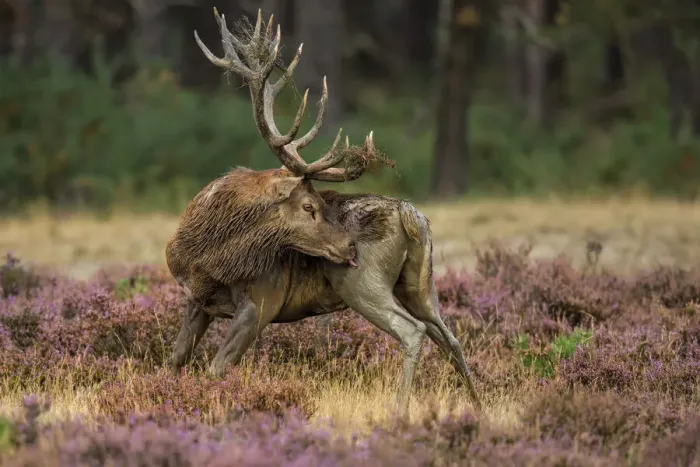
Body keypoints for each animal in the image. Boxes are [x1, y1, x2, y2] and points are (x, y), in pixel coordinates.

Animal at [165, 8, 482, 414]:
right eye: (307, 205)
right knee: (450, 337)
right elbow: (176, 360)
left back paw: (399, 410)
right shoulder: (196, 300)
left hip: (363, 284)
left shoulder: (263, 300)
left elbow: (216, 368)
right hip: (421, 283)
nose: (349, 247)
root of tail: (411, 215)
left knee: (414, 331)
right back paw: (478, 406)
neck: (207, 256)